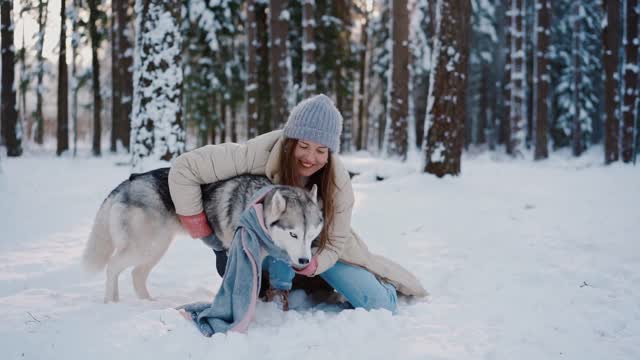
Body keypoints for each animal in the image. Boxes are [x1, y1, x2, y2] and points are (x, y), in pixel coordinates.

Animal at [84, 167, 324, 302]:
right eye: (293, 234)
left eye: (311, 235)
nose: (305, 261)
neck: (254, 208)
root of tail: (127, 183)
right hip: (144, 247)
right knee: (113, 266)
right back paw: (111, 302)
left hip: (156, 249)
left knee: (136, 274)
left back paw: (147, 302)